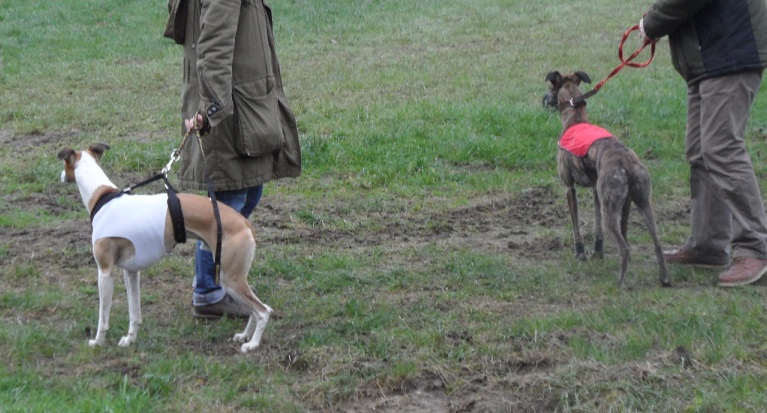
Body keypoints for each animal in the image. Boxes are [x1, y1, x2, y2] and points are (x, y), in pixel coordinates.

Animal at [58, 143, 272, 352]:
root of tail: (245, 222)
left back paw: (252, 344)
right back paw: (244, 335)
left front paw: (97, 342)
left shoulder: (105, 272)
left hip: (230, 279)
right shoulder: (131, 271)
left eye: (64, 163)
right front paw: (130, 339)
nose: (60, 176)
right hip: (233, 277)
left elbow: (103, 317)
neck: (102, 196)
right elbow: (134, 312)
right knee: (254, 310)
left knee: (263, 311)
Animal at [544, 69, 668, 284]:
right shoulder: (596, 191)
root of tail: (626, 163)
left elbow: (576, 225)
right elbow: (597, 226)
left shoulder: (569, 189)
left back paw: (620, 282)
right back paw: (664, 279)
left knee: (625, 247)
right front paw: (597, 252)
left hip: (610, 209)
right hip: (641, 202)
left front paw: (581, 253)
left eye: (551, 85)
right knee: (656, 242)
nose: (544, 100)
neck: (575, 119)